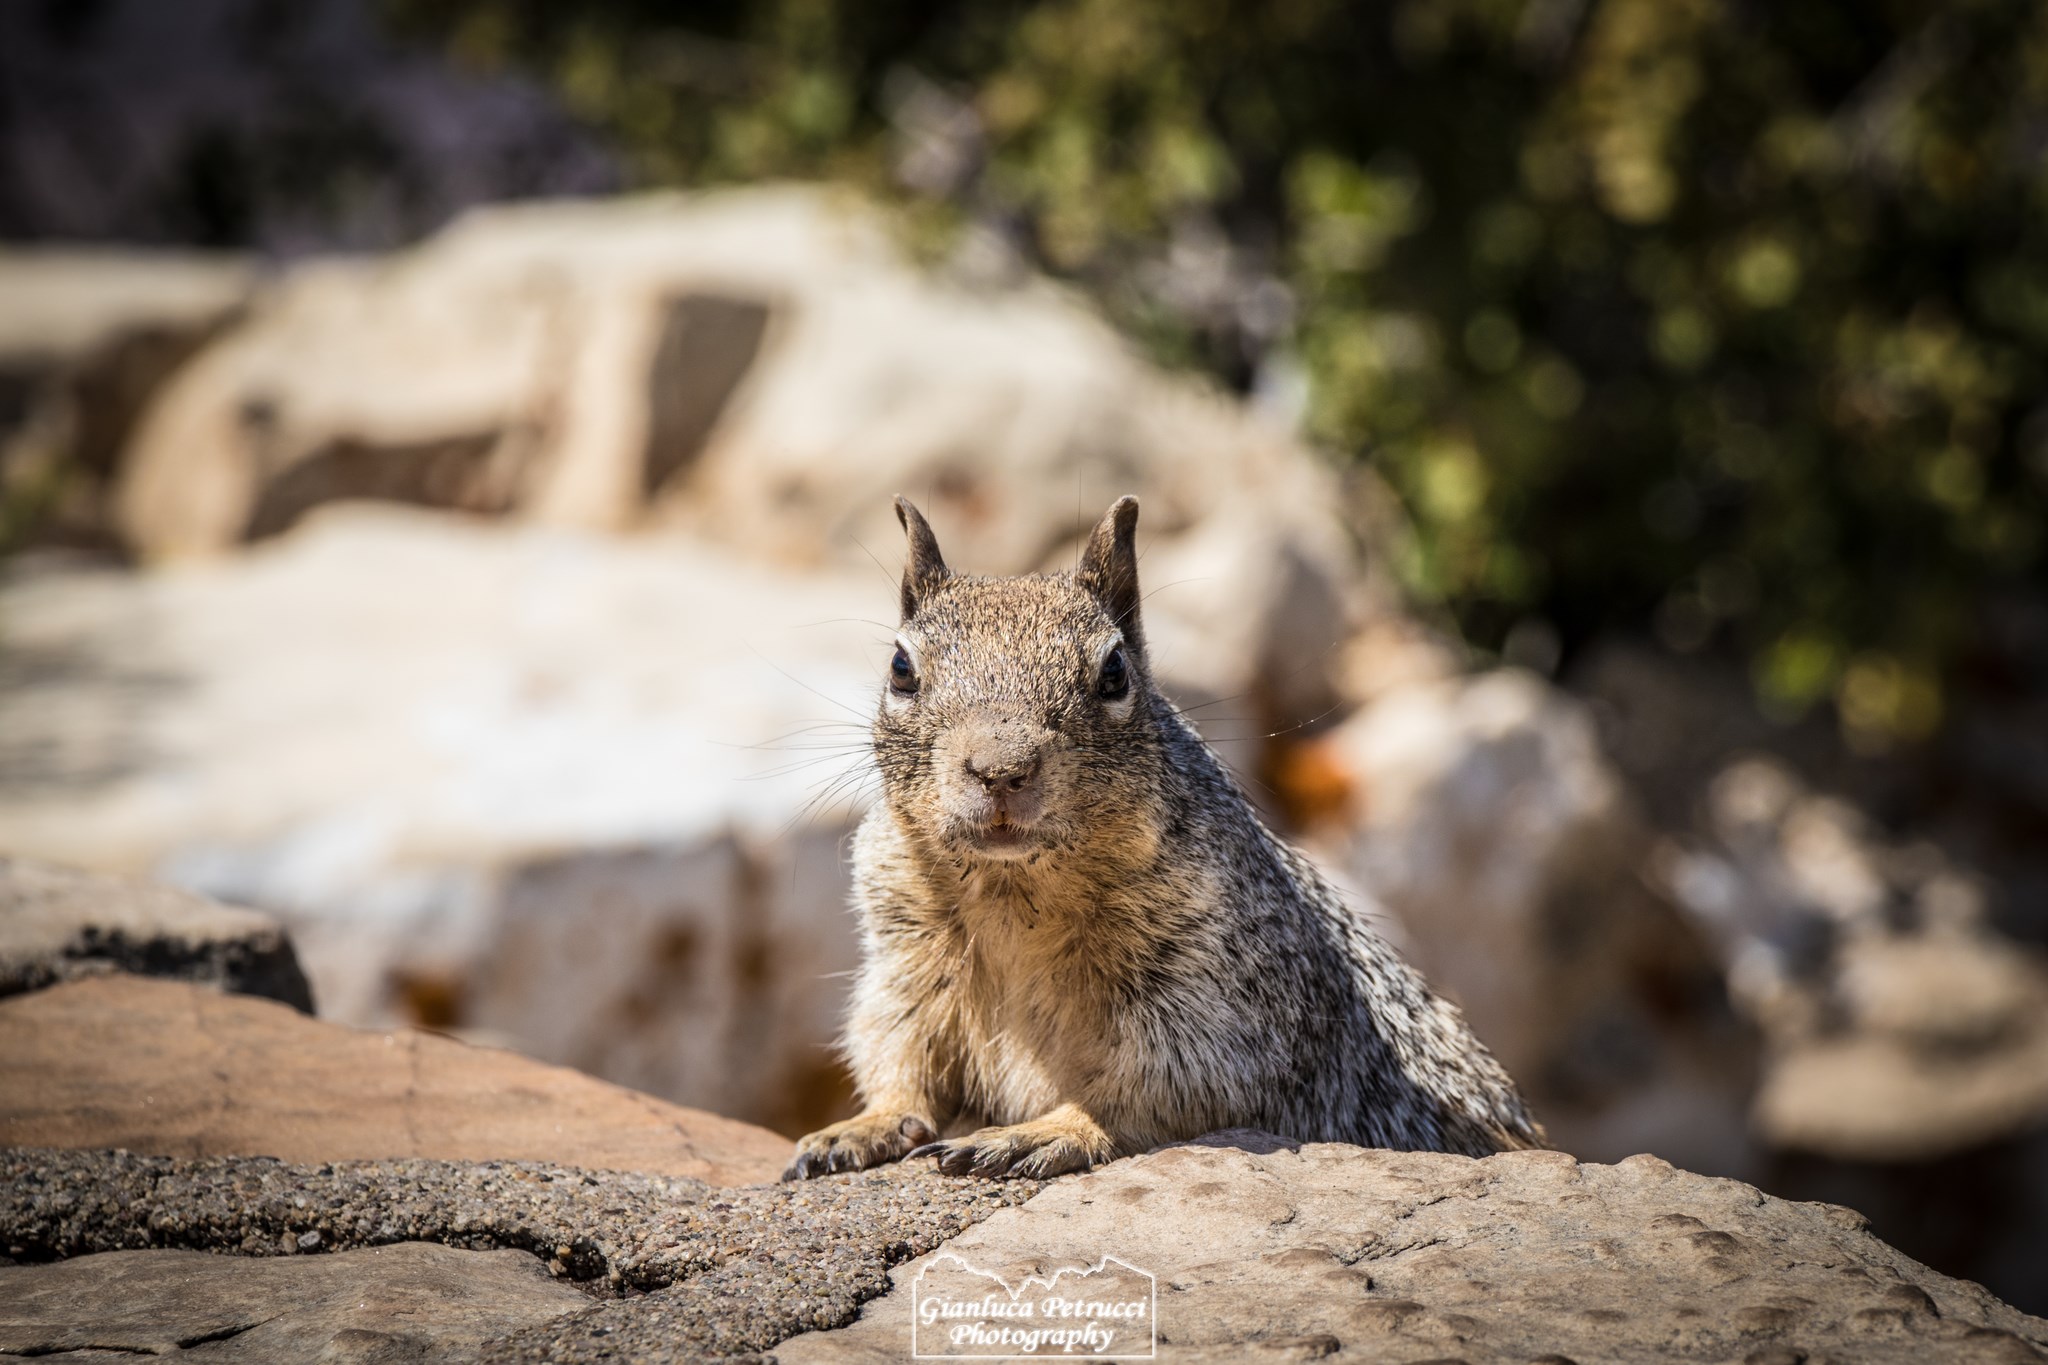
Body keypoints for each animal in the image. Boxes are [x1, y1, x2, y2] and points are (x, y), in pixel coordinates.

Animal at [785, 495, 1543, 1181]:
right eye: (900, 668)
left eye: (1115, 671)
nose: (1001, 769)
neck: (1014, 890)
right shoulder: (905, 960)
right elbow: (902, 1052)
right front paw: (865, 1124)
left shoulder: (1217, 997)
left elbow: (1158, 1085)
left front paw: (1044, 1131)